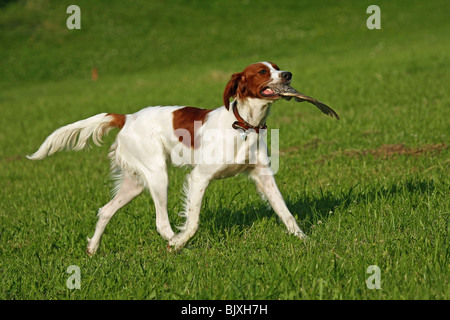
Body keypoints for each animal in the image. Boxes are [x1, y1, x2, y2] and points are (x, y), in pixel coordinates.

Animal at [28, 62, 338, 255]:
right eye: (263, 71)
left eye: (277, 66)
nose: (287, 74)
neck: (244, 125)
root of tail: (127, 117)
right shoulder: (200, 176)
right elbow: (193, 222)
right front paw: (181, 241)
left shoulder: (262, 175)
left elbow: (286, 213)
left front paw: (305, 240)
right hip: (157, 174)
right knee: (161, 223)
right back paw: (178, 245)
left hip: (135, 182)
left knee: (105, 210)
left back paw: (93, 248)